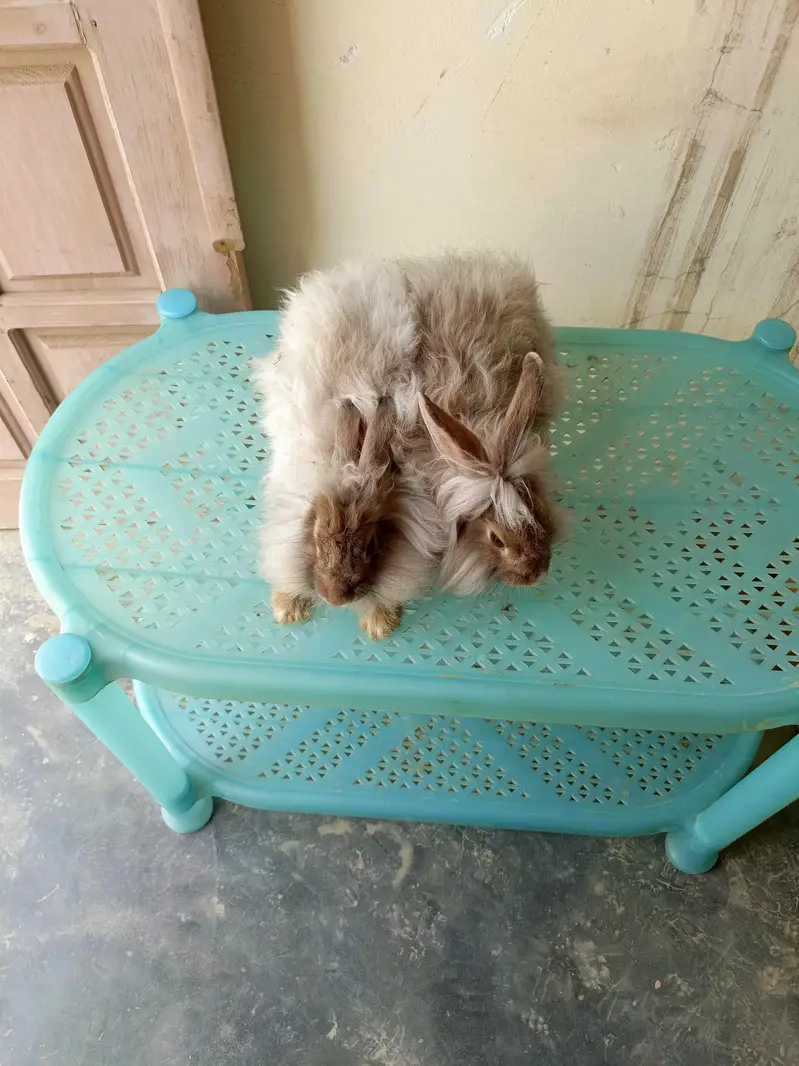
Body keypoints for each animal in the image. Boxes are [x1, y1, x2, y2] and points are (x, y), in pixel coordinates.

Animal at [256, 261, 444, 640]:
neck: (350, 466)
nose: (335, 598)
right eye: (315, 539)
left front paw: (379, 624)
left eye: (372, 545)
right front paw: (287, 610)